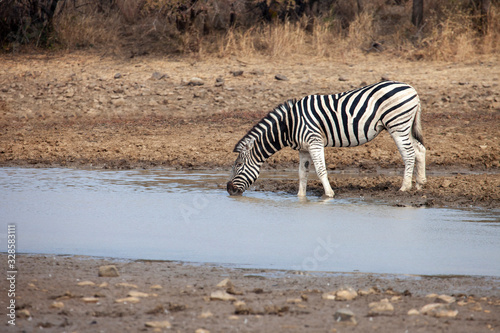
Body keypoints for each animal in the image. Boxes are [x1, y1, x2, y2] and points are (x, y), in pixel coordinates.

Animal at [227, 80, 426, 197]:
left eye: (238, 165)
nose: (228, 189)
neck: (289, 124)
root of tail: (412, 89)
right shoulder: (303, 149)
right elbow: (302, 173)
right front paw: (300, 197)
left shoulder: (314, 142)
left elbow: (321, 170)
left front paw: (329, 194)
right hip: (405, 125)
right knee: (419, 149)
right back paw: (419, 184)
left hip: (397, 124)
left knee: (409, 153)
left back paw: (405, 187)